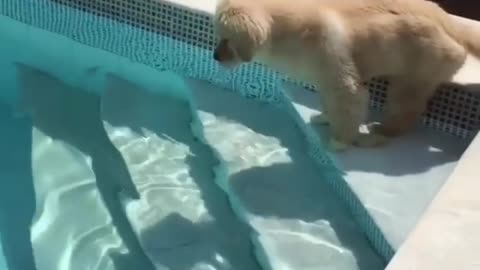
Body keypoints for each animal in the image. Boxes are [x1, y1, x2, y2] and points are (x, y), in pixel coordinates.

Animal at [213, 0, 480, 151]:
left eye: (226, 40)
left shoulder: (337, 69)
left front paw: (340, 141)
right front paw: (324, 117)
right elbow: (329, 101)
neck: (286, 33)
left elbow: (348, 100)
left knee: (405, 108)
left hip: (418, 70)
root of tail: (451, 24)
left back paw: (379, 133)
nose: (215, 57)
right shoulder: (322, 76)